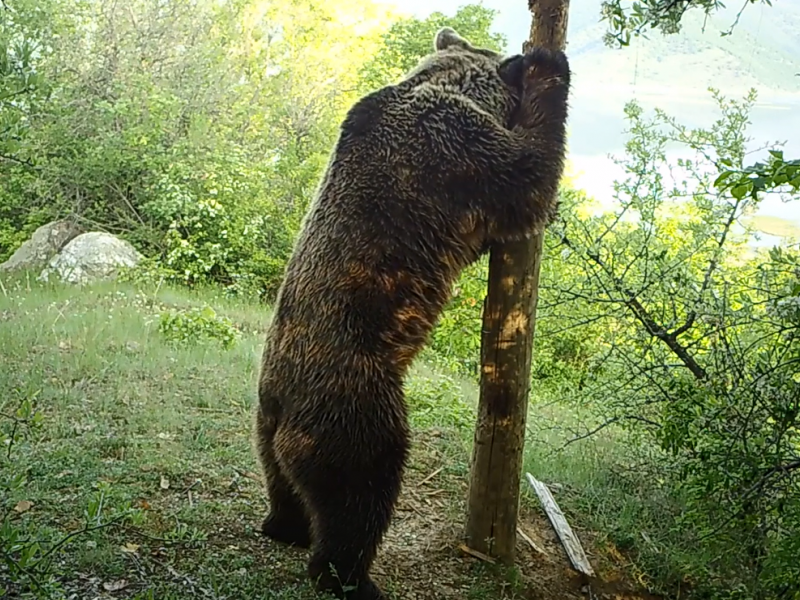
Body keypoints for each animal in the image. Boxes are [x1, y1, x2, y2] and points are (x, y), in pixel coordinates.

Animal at [253, 25, 572, 596]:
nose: (523, 59)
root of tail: (283, 406)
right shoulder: (455, 147)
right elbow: (526, 176)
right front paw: (547, 66)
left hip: (267, 423)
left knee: (282, 480)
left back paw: (285, 526)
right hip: (355, 399)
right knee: (362, 487)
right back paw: (350, 577)